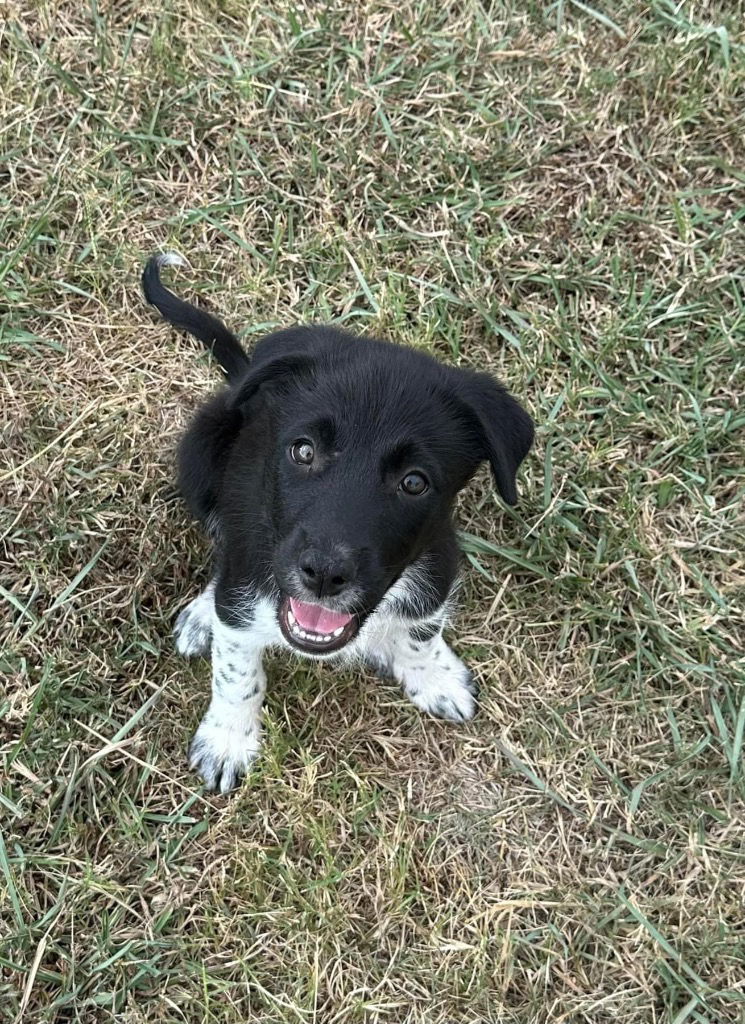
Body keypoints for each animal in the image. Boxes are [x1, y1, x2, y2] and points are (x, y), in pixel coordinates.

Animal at [142, 253, 532, 790]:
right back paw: (204, 614)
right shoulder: (249, 578)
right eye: (303, 451)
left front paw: (433, 676)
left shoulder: (438, 562)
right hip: (201, 453)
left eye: (415, 482)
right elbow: (237, 670)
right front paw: (228, 739)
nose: (324, 574)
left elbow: (421, 630)